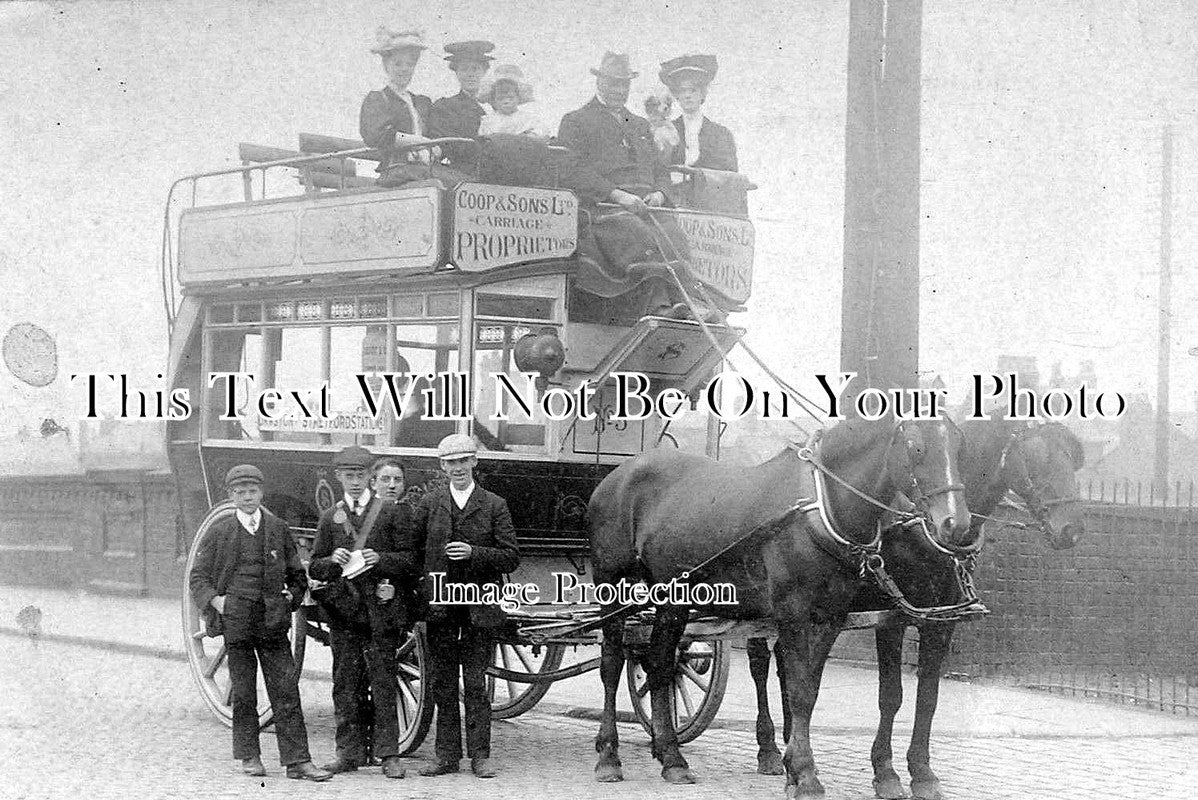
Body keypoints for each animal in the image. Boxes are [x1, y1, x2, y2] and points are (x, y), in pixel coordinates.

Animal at [589, 416, 972, 795]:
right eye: (916, 447)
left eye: (959, 446)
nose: (957, 524)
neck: (819, 506)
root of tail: (618, 475)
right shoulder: (795, 614)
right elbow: (798, 691)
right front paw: (803, 773)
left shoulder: (831, 617)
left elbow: (809, 689)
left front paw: (795, 768)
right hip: (612, 584)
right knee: (612, 662)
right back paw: (609, 755)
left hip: (673, 597)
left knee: (659, 663)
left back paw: (671, 756)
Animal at [752, 421, 1092, 795]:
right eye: (1037, 456)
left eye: (1072, 457)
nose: (1072, 530)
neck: (923, 528)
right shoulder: (893, 618)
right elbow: (891, 695)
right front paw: (886, 772)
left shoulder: (942, 621)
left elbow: (928, 698)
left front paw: (922, 773)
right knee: (760, 665)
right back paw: (769, 750)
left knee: (786, 664)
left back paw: (790, 748)